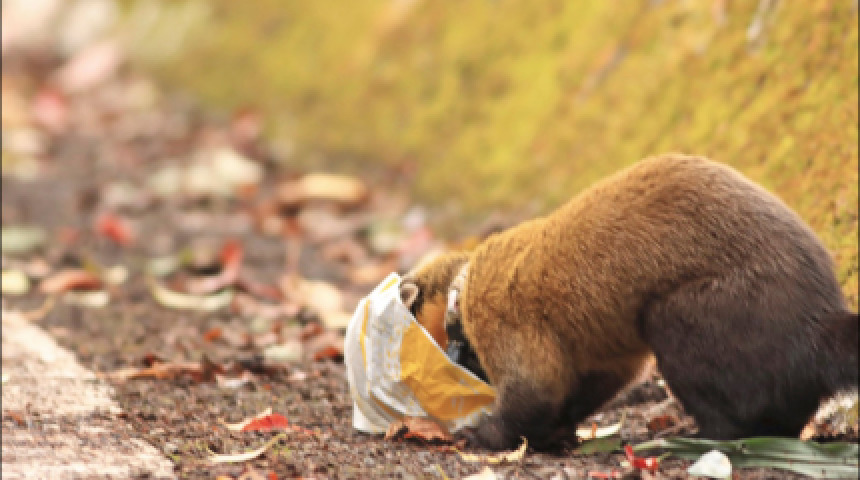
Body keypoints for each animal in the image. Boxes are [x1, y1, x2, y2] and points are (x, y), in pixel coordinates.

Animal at [400, 154, 859, 451]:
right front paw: (558, 435)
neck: (465, 287)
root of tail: (821, 317)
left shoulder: (505, 322)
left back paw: (688, 437)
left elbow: (535, 392)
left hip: (685, 316)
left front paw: (478, 435)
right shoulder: (607, 359)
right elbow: (581, 393)